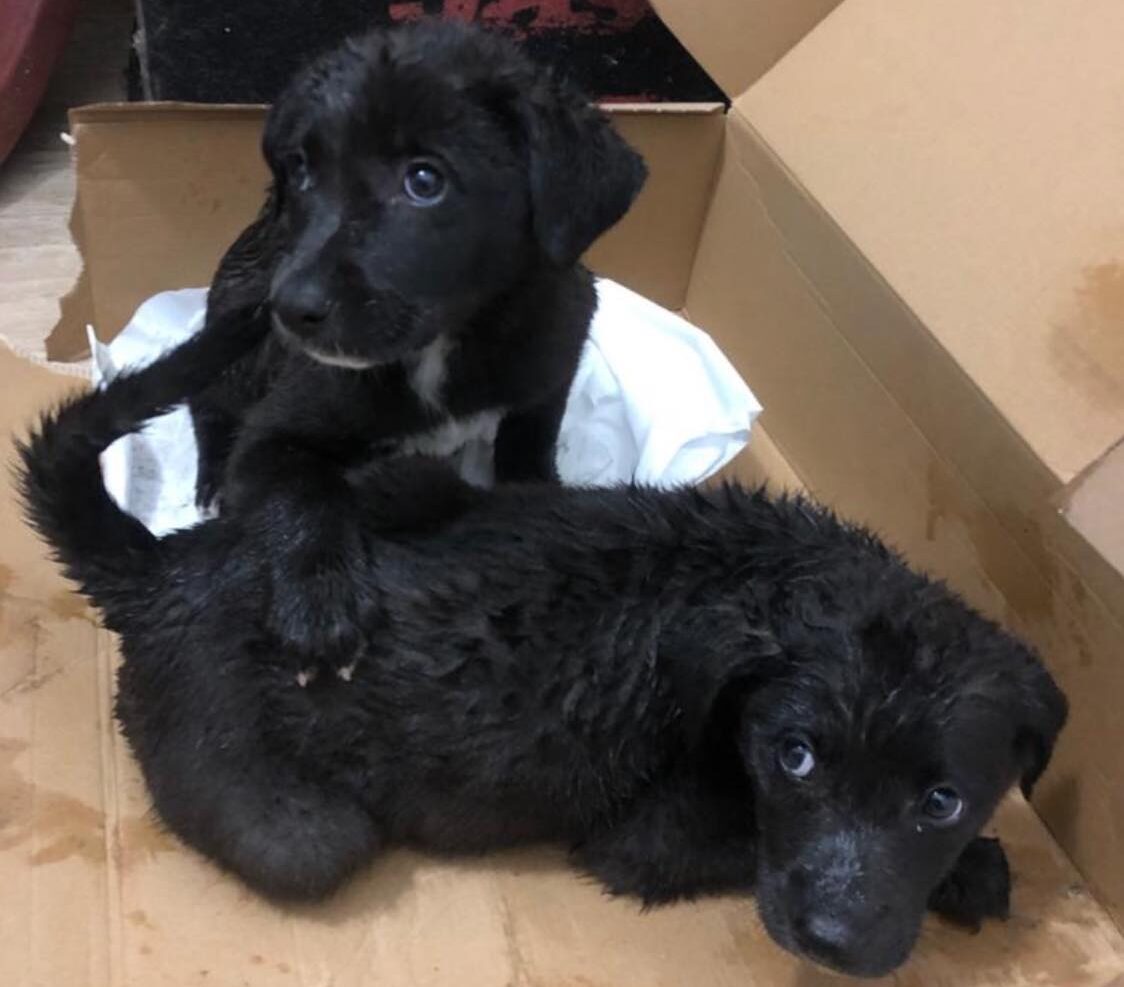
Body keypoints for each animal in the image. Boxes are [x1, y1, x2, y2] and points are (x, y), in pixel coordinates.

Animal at [19, 322, 1066, 979]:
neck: (764, 585)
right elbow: (752, 849)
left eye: (942, 800)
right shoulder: (655, 839)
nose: (833, 942)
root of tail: (163, 572)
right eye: (795, 757)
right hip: (299, 826)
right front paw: (976, 874)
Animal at [187, 21, 647, 675]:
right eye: (301, 171)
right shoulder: (272, 432)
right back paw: (210, 483)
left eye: (424, 180)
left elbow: (530, 453)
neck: (444, 347)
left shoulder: (549, 371)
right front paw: (320, 608)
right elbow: (298, 491)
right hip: (232, 335)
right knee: (206, 404)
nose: (289, 309)